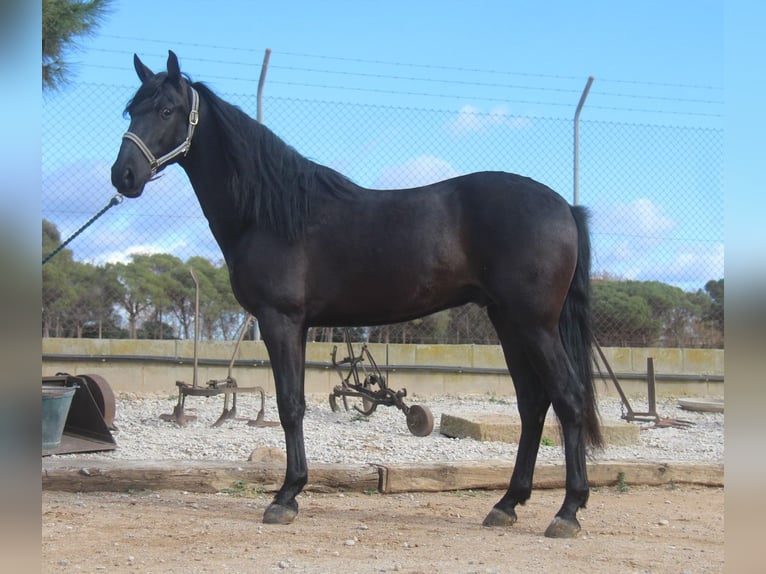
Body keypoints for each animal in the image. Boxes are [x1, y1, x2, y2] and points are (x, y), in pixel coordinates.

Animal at [111, 50, 604, 540]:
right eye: (131, 109)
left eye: (167, 110)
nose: (123, 175)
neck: (271, 212)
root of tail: (565, 207)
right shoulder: (299, 326)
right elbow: (296, 403)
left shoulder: (280, 319)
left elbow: (290, 406)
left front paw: (285, 497)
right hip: (509, 323)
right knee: (533, 404)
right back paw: (507, 504)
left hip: (534, 325)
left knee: (569, 398)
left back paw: (568, 510)